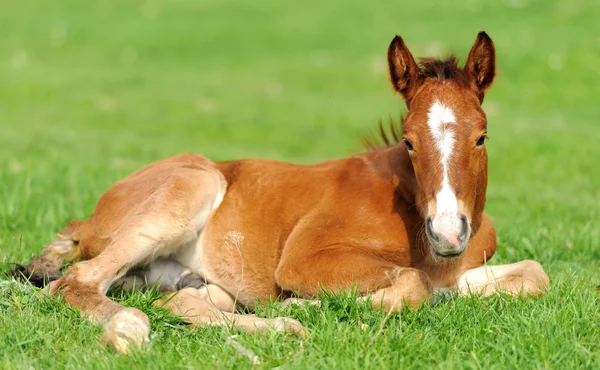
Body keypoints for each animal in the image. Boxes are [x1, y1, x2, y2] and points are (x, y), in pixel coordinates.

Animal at [14, 31, 548, 352]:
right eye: (409, 141)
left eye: (481, 137)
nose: (448, 234)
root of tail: (88, 218)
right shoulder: (304, 260)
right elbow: (414, 283)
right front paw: (307, 303)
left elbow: (534, 275)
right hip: (194, 185)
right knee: (76, 281)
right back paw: (131, 326)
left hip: (180, 278)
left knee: (181, 302)